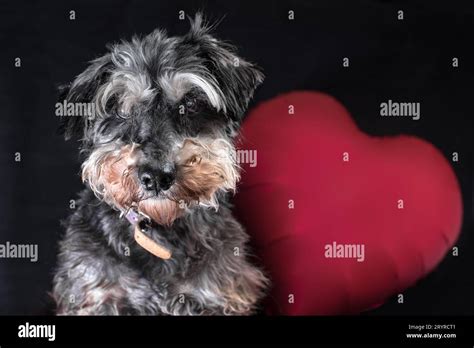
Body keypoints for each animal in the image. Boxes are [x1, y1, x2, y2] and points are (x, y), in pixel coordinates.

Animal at [53, 14, 268, 316]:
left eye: (191, 103)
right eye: (119, 108)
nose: (156, 177)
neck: (160, 231)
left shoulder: (217, 297)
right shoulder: (97, 297)